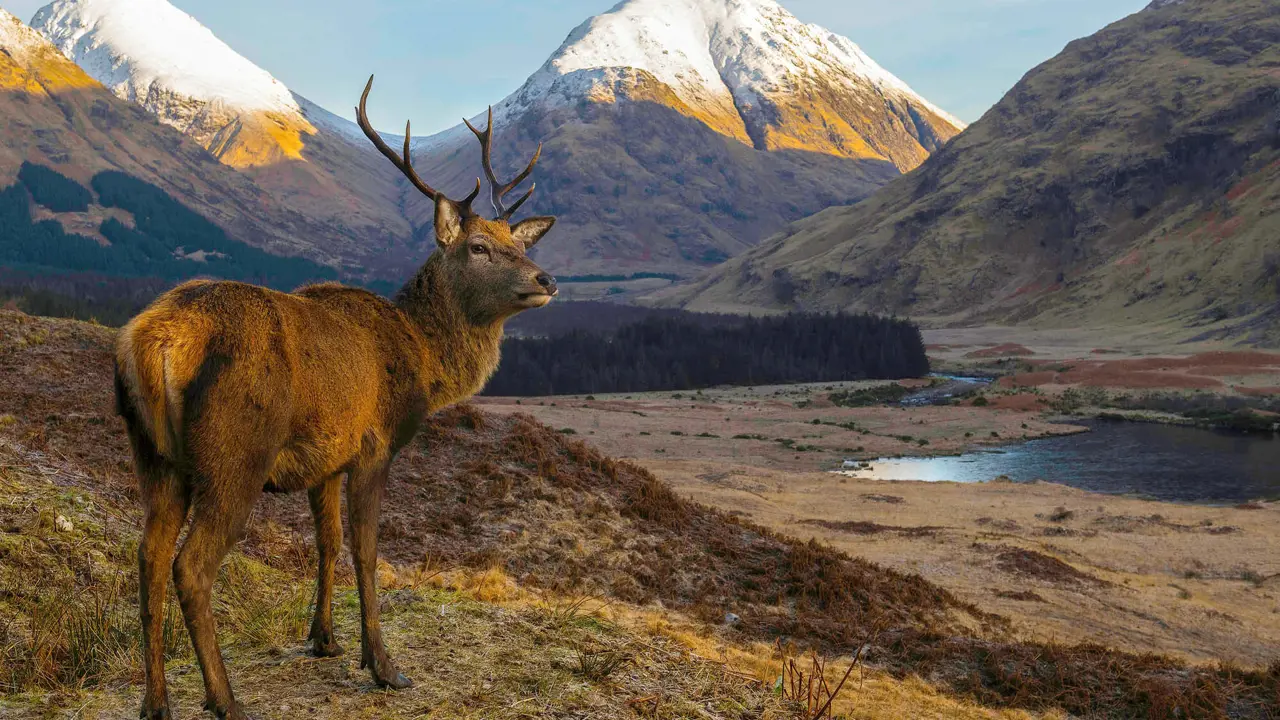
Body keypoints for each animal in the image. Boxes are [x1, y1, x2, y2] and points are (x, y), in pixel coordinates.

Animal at [117, 75, 558, 712]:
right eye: (478, 246)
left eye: (520, 244)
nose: (546, 279)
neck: (423, 359)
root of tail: (157, 341)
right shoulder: (374, 445)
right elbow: (366, 551)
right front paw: (383, 665)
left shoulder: (325, 458)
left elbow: (325, 544)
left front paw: (323, 638)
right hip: (234, 453)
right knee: (190, 566)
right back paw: (225, 699)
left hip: (154, 457)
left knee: (147, 556)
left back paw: (156, 701)